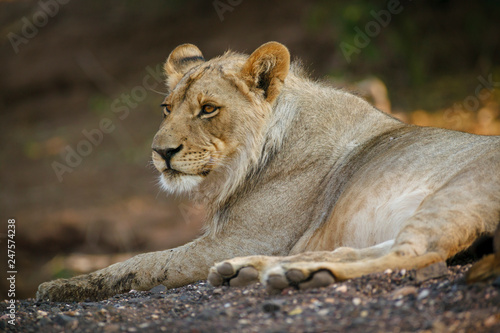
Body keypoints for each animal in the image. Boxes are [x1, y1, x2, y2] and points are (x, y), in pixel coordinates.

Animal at [37, 41, 500, 300]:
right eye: (167, 109)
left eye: (208, 109)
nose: (161, 152)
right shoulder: (237, 239)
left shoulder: (239, 237)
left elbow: (145, 263)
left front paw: (60, 287)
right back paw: (252, 271)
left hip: (456, 192)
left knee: (418, 254)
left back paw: (299, 276)